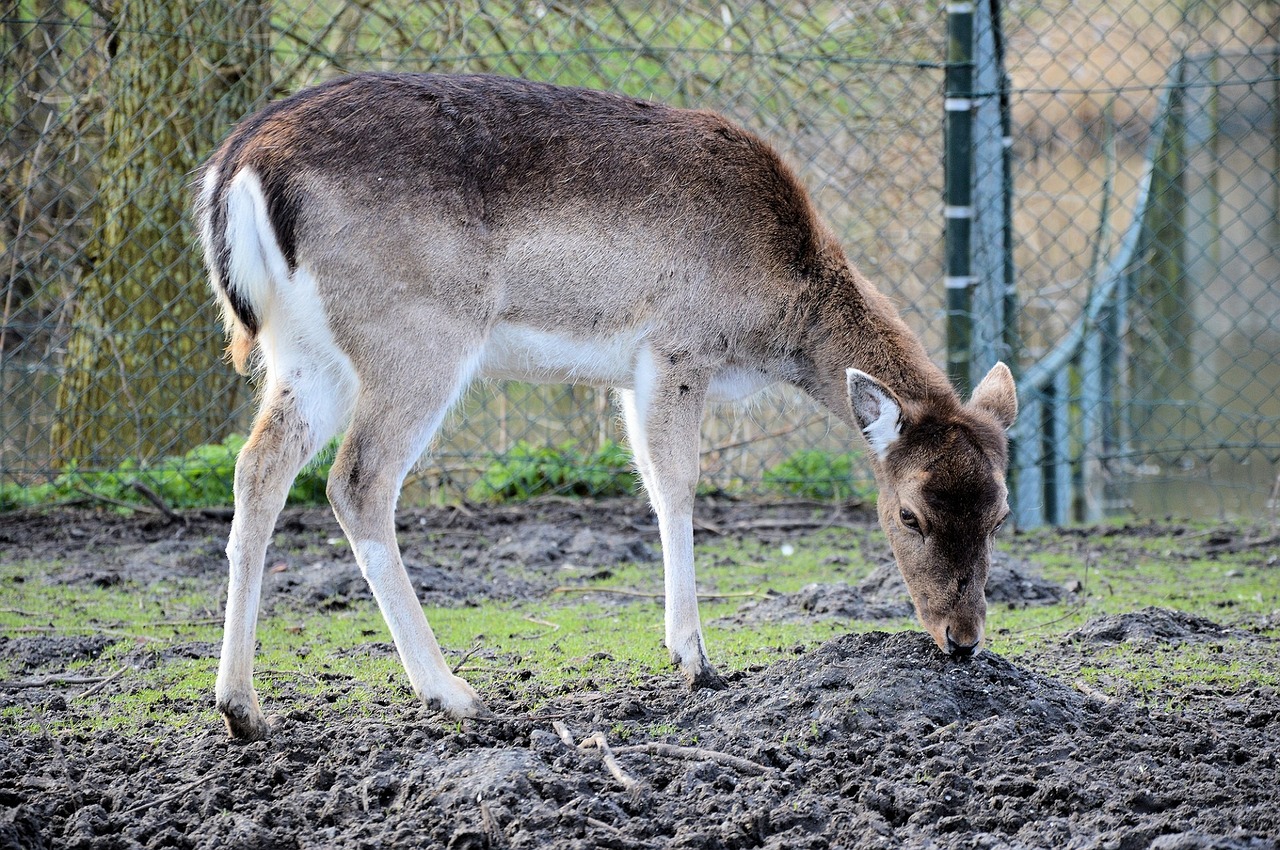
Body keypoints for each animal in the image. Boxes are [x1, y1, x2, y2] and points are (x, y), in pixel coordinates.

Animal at [194, 71, 1013, 737]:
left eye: (1001, 514)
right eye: (909, 514)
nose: (962, 641)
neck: (779, 312)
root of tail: (238, 168)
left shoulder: (630, 375)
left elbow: (648, 482)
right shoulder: (677, 347)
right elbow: (678, 484)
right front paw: (696, 659)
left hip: (303, 352)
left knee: (257, 466)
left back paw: (242, 708)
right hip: (417, 337)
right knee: (357, 480)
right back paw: (452, 693)